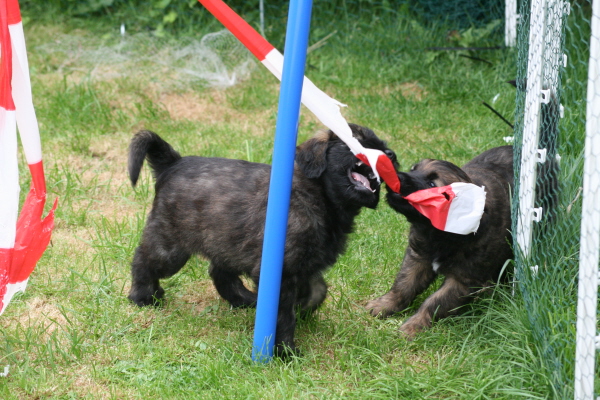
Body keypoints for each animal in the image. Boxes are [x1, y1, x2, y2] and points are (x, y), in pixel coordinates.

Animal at [127, 124, 398, 356]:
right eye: (357, 142)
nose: (391, 155)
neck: (318, 196)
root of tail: (173, 163)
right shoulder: (283, 271)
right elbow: (282, 315)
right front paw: (285, 351)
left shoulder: (306, 265)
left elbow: (318, 291)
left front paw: (303, 307)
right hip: (171, 247)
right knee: (143, 259)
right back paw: (143, 296)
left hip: (226, 239)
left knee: (219, 272)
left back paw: (244, 299)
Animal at [366, 146, 513, 338]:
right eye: (413, 169)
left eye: (432, 184)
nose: (395, 176)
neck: (440, 234)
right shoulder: (418, 256)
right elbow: (404, 284)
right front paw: (383, 305)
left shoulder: (463, 278)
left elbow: (435, 302)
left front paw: (414, 325)